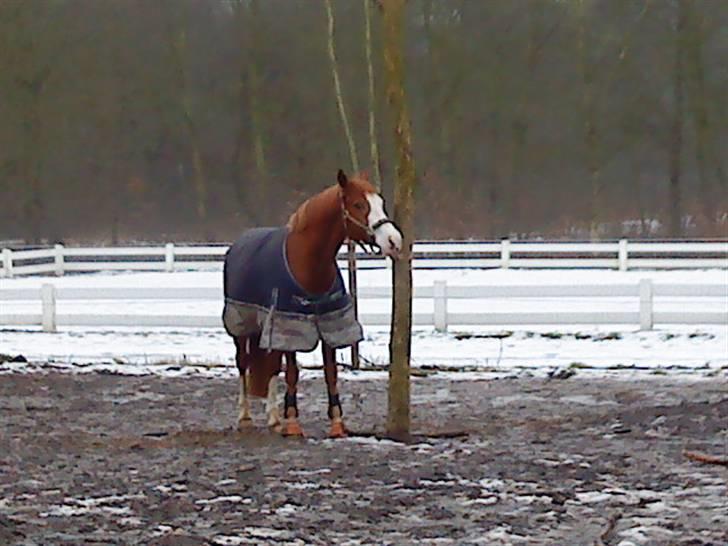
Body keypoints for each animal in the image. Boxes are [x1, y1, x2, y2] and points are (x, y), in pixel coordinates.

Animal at [223, 170, 404, 438]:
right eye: (358, 205)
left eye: (380, 203)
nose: (394, 241)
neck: (308, 263)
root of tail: (238, 243)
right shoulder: (291, 328)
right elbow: (292, 373)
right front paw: (293, 423)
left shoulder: (329, 325)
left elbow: (330, 373)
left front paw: (337, 424)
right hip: (242, 326)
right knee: (243, 364)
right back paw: (245, 417)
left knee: (270, 368)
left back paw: (274, 419)